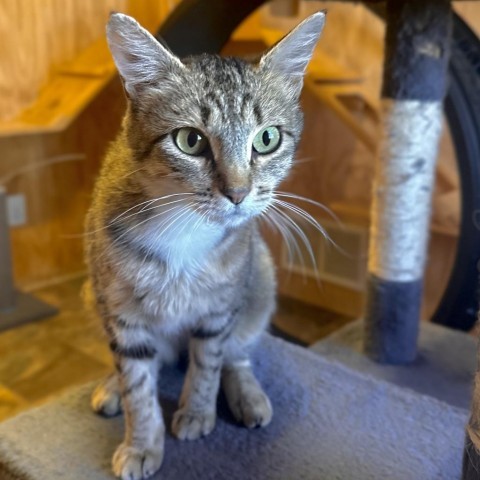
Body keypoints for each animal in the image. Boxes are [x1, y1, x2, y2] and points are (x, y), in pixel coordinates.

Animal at [85, 11, 326, 480]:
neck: (183, 229)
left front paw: (197, 412)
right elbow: (137, 384)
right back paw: (110, 386)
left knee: (237, 354)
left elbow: (209, 362)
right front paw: (142, 443)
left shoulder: (219, 309)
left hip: (259, 280)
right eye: (190, 140)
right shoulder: (121, 313)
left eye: (267, 138)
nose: (237, 193)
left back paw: (247, 394)